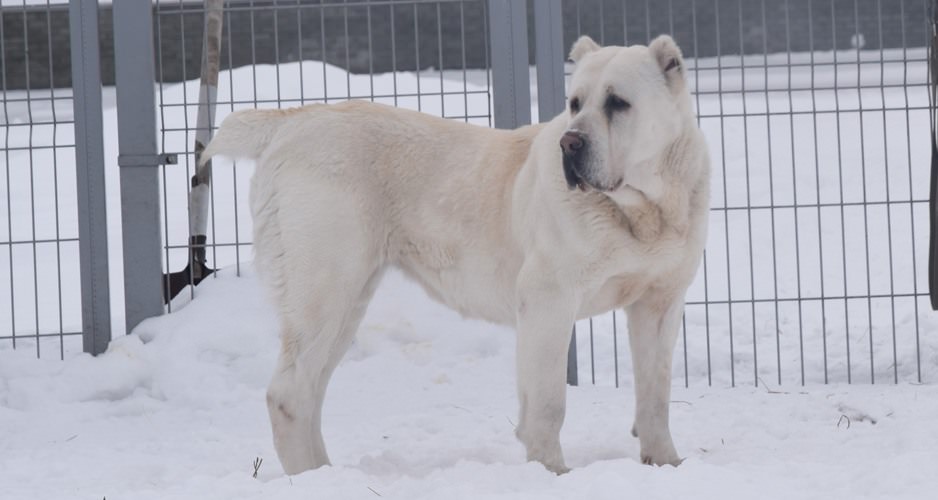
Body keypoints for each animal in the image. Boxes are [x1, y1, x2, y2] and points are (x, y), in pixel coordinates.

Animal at [201, 34, 704, 472]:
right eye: (575, 103)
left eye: (618, 103)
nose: (570, 141)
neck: (642, 211)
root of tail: (293, 120)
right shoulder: (548, 301)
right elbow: (548, 402)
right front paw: (552, 472)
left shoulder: (660, 303)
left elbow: (655, 394)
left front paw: (666, 462)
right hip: (324, 291)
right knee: (287, 394)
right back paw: (313, 478)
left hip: (346, 302)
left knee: (309, 392)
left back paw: (325, 472)